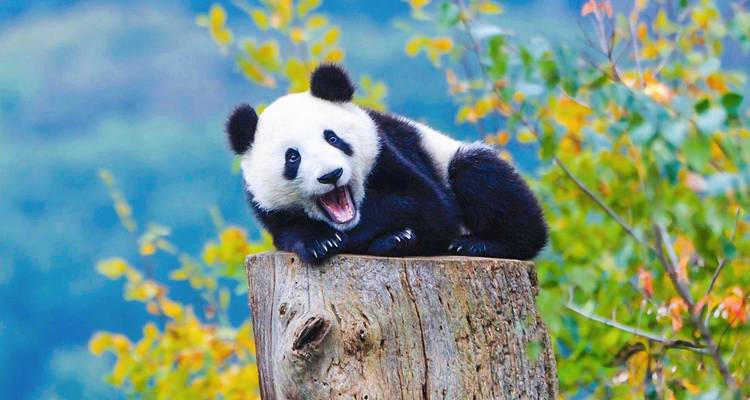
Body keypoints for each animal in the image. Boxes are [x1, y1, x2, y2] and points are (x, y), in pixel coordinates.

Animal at [226, 64, 547, 265]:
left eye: (332, 137)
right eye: (293, 157)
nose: (331, 175)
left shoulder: (389, 152)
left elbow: (427, 205)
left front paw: (382, 236)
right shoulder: (268, 209)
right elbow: (289, 232)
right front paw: (320, 243)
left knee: (482, 177)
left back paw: (476, 244)